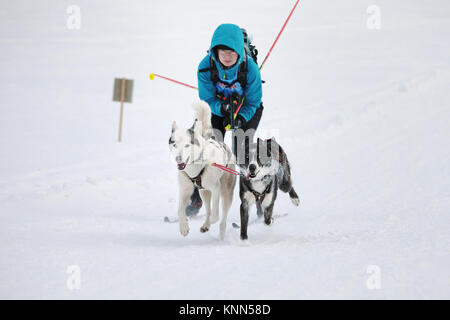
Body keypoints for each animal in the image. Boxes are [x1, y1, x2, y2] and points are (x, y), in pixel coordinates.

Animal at [168, 101, 236, 239]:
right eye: (174, 144)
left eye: (187, 145)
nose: (178, 159)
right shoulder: (185, 190)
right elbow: (180, 210)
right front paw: (183, 227)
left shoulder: (216, 188)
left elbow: (215, 215)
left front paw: (213, 221)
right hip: (203, 192)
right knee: (208, 209)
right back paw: (206, 225)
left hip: (226, 192)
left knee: (222, 217)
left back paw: (221, 233)